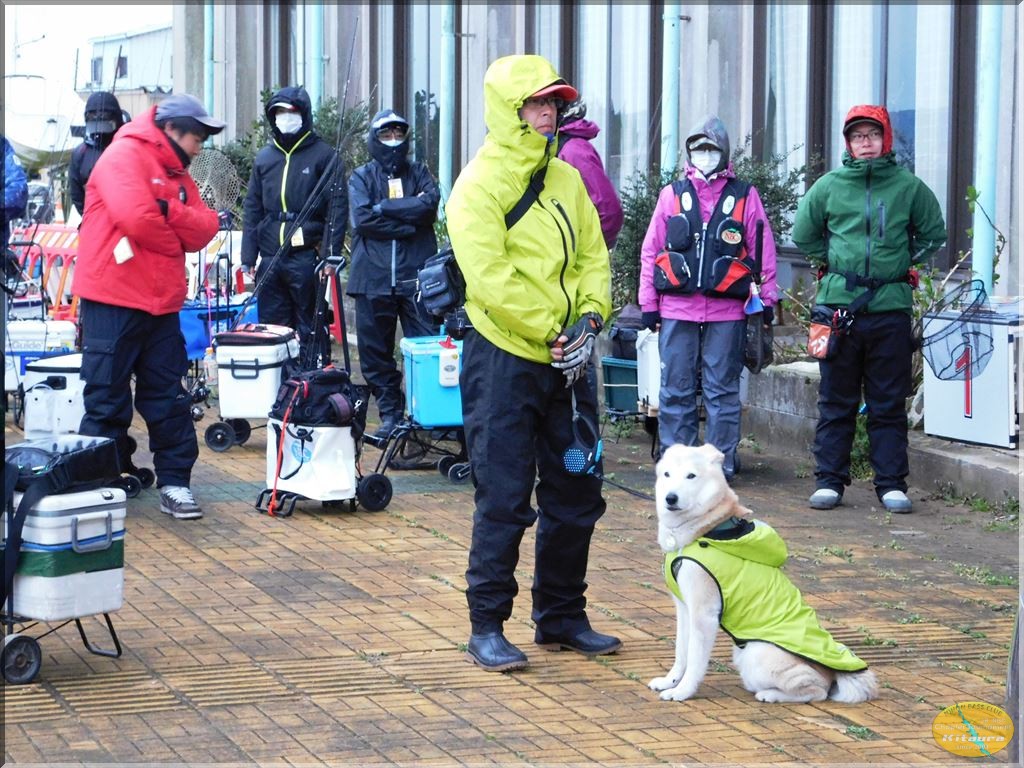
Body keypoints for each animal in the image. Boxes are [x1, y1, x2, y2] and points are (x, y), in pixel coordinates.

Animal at [648, 444, 878, 703]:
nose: (670, 498)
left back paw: (771, 694)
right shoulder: (684, 608)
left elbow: (695, 661)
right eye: (667, 474)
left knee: (816, 691)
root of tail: (833, 672)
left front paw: (682, 692)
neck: (707, 530)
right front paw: (670, 681)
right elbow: (681, 652)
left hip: (757, 654)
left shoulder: (704, 614)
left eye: (691, 476)